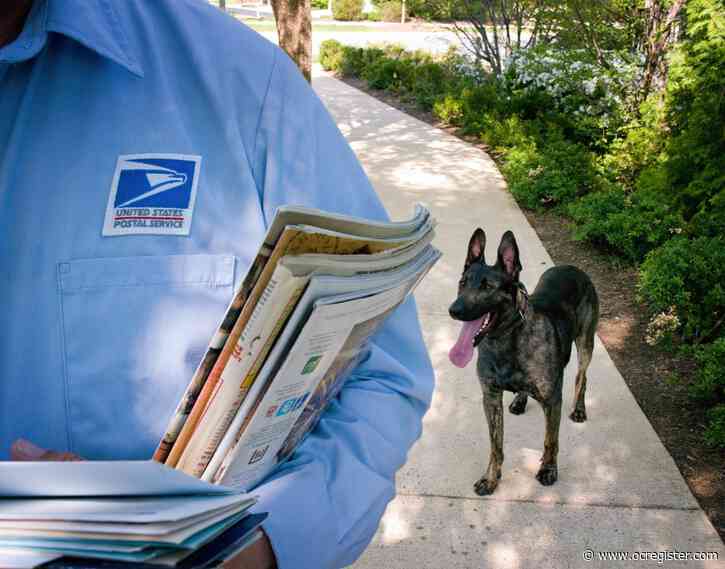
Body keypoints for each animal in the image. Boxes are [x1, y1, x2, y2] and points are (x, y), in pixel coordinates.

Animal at [446, 229, 600, 494]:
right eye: (463, 282)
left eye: (488, 287)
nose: (454, 310)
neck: (505, 338)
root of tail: (572, 267)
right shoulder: (491, 398)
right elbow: (495, 446)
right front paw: (491, 478)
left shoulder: (553, 401)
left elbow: (550, 441)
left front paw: (548, 469)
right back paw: (520, 400)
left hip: (585, 343)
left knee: (582, 376)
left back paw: (579, 408)